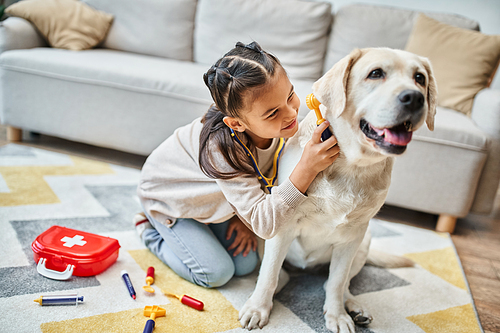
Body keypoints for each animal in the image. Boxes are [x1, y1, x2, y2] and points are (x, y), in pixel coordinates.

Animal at [240, 47, 436, 332]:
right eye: (375, 73)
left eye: (419, 78)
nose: (415, 98)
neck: (350, 166)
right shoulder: (281, 225)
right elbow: (268, 275)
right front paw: (258, 308)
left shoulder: (352, 236)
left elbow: (336, 282)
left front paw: (337, 316)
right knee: (280, 274)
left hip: (364, 242)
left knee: (337, 283)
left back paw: (354, 307)